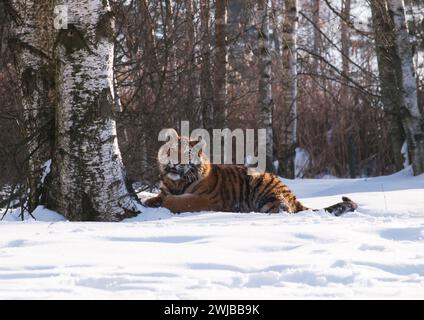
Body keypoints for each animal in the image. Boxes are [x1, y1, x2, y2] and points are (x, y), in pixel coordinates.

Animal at [145, 135, 358, 215]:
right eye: (171, 150)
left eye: (186, 153)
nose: (174, 163)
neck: (177, 182)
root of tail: (293, 197)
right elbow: (159, 196)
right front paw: (150, 201)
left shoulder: (207, 199)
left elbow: (182, 201)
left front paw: (166, 203)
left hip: (264, 190)